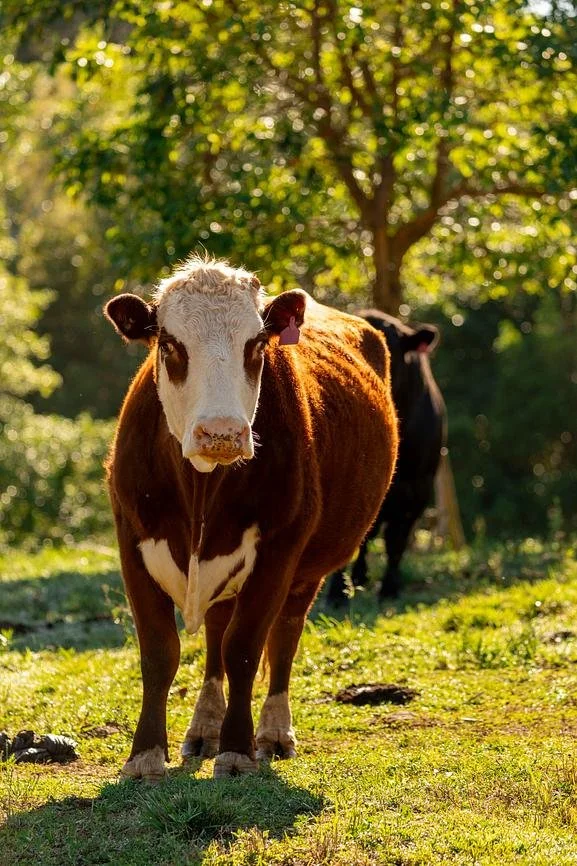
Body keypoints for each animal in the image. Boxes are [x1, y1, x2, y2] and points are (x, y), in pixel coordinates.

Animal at [103, 256, 398, 780]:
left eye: (256, 343)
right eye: (170, 343)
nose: (221, 432)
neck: (201, 489)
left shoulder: (279, 551)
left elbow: (244, 647)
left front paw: (237, 750)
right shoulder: (131, 542)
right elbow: (160, 652)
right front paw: (144, 756)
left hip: (308, 571)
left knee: (282, 637)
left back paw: (274, 733)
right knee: (216, 632)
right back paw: (204, 728)